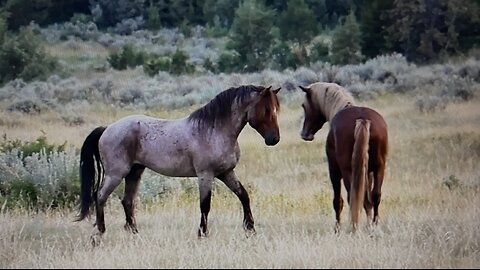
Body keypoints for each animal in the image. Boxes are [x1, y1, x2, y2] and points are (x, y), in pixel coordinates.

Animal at [76, 85, 282, 245]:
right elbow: (205, 205)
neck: (214, 130)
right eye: (266, 110)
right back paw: (99, 234)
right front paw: (202, 234)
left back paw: (134, 233)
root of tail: (108, 128)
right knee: (100, 196)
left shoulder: (226, 173)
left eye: (275, 110)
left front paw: (250, 229)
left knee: (127, 201)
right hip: (116, 174)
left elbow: (244, 196)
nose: (274, 139)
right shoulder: (205, 175)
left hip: (134, 172)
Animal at [302, 82, 388, 232]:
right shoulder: (368, 173)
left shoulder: (334, 171)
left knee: (352, 198)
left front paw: (337, 229)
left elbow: (338, 201)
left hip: (348, 171)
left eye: (304, 106)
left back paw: (354, 227)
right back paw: (373, 226)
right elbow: (368, 201)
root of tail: (362, 120)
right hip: (379, 168)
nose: (304, 134)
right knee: (375, 196)